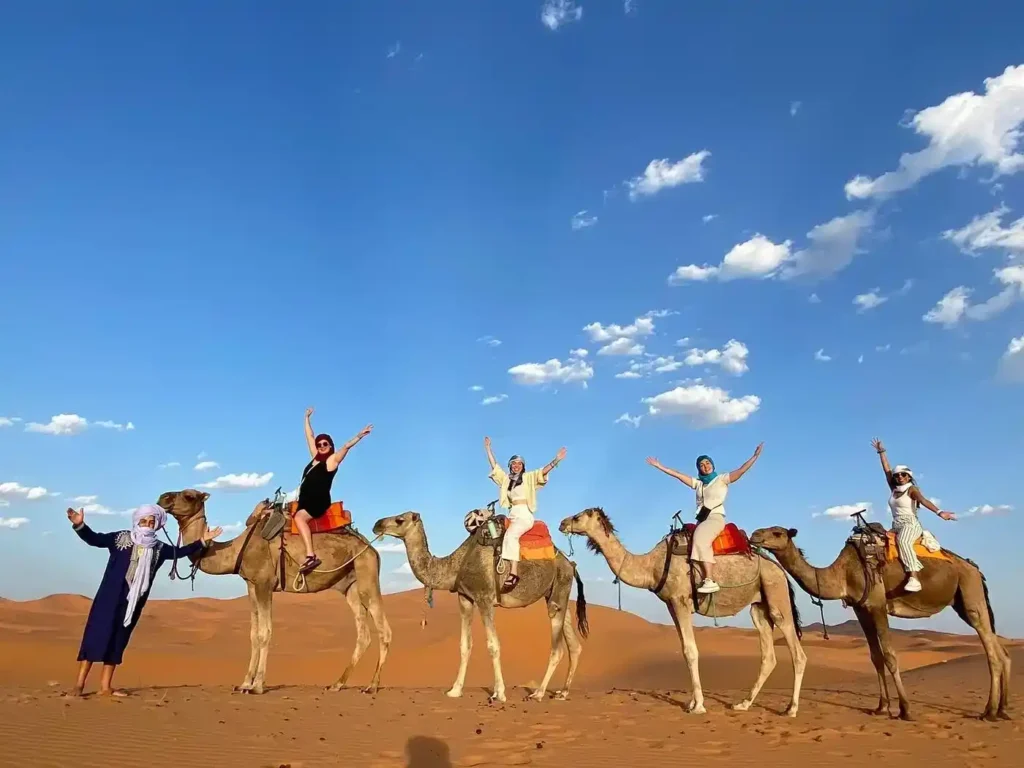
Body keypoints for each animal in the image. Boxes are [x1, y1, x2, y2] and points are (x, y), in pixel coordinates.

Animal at [158, 493, 391, 696]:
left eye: (189, 496)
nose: (162, 497)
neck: (238, 549)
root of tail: (371, 548)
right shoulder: (251, 585)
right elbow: (253, 634)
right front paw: (244, 684)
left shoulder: (264, 583)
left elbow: (265, 632)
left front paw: (257, 686)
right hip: (349, 584)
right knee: (363, 633)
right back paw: (337, 684)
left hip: (366, 573)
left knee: (384, 630)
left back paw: (371, 686)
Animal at [372, 512, 589, 704]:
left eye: (400, 519)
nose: (377, 524)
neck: (456, 564)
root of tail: (571, 564)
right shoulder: (465, 598)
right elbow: (464, 645)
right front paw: (455, 690)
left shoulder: (485, 598)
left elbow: (493, 645)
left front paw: (499, 694)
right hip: (555, 594)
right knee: (574, 644)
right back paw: (562, 693)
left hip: (559, 589)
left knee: (557, 648)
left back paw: (538, 694)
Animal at [561, 507, 806, 720]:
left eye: (578, 516)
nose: (562, 523)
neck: (652, 566)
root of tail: (779, 569)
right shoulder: (671, 604)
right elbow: (683, 648)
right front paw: (692, 702)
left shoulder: (681, 601)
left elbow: (690, 651)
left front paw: (698, 706)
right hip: (759, 606)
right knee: (768, 655)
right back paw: (744, 704)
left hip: (776, 595)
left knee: (797, 653)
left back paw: (791, 709)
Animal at [749, 528, 1011, 724]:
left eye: (777, 532)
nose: (754, 535)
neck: (842, 574)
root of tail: (975, 568)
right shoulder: (861, 608)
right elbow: (875, 657)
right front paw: (881, 707)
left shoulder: (877, 604)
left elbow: (890, 656)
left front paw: (905, 709)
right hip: (962, 602)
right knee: (1002, 651)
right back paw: (1002, 710)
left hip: (970, 592)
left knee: (991, 652)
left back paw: (988, 711)